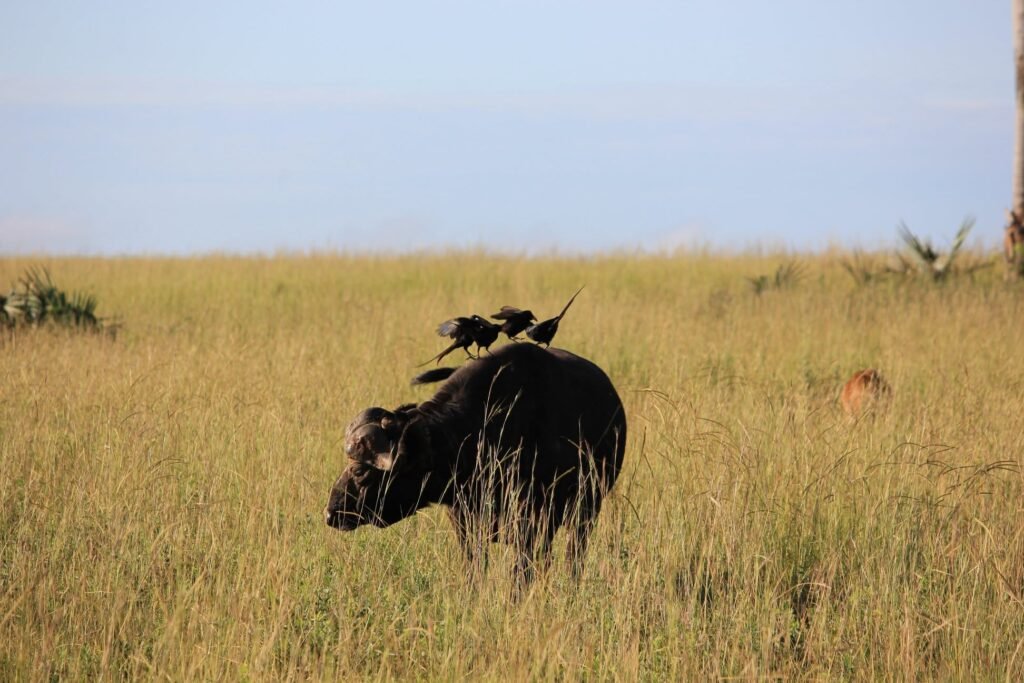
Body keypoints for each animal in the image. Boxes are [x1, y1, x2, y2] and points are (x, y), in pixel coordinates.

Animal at [324, 343, 627, 585]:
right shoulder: (465, 524)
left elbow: (521, 574)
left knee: (574, 558)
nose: (330, 513)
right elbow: (475, 569)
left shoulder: (531, 524)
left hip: (585, 513)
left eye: (360, 471)